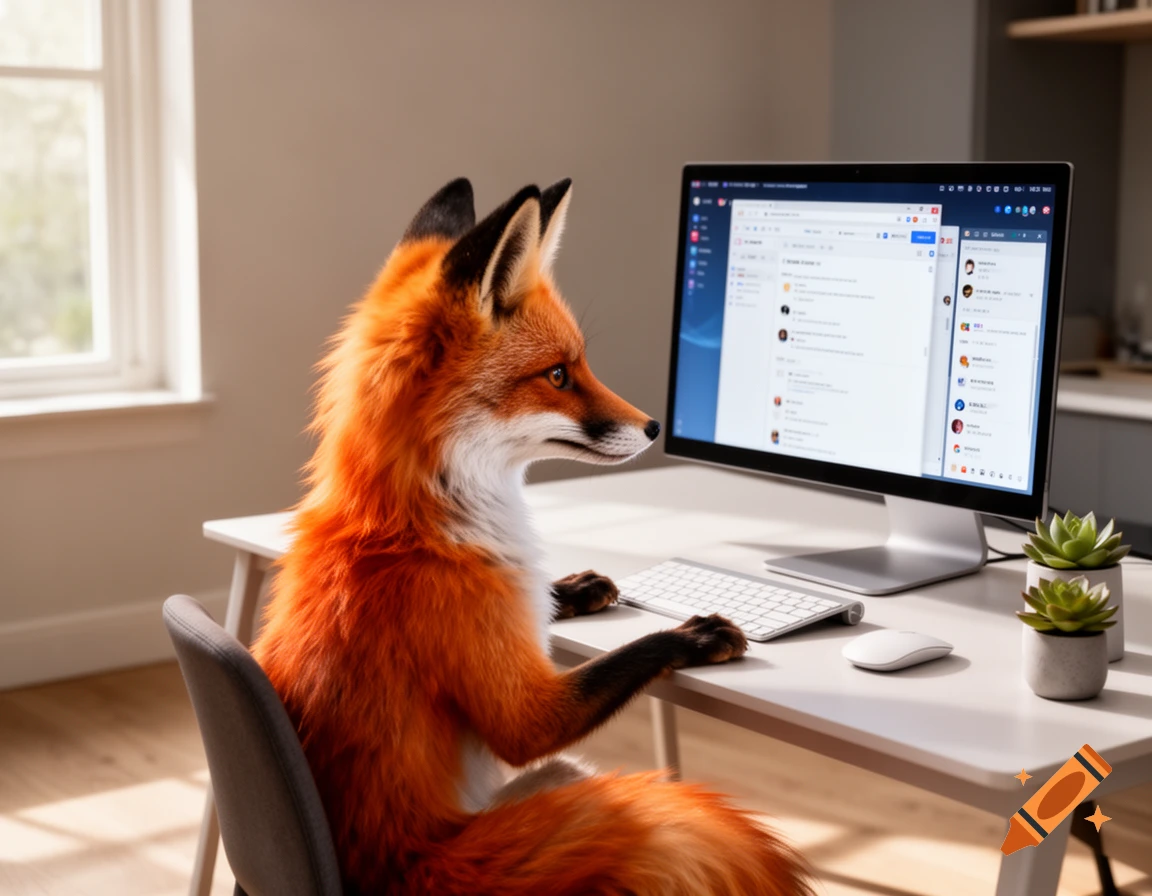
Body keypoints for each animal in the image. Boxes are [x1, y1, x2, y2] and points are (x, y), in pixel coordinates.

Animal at [252, 177, 815, 896]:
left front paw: (577, 587)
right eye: (557, 375)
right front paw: (694, 634)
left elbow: (548, 600)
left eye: (580, 364)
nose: (655, 426)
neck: (414, 522)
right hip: (559, 779)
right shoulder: (524, 717)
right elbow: (629, 655)